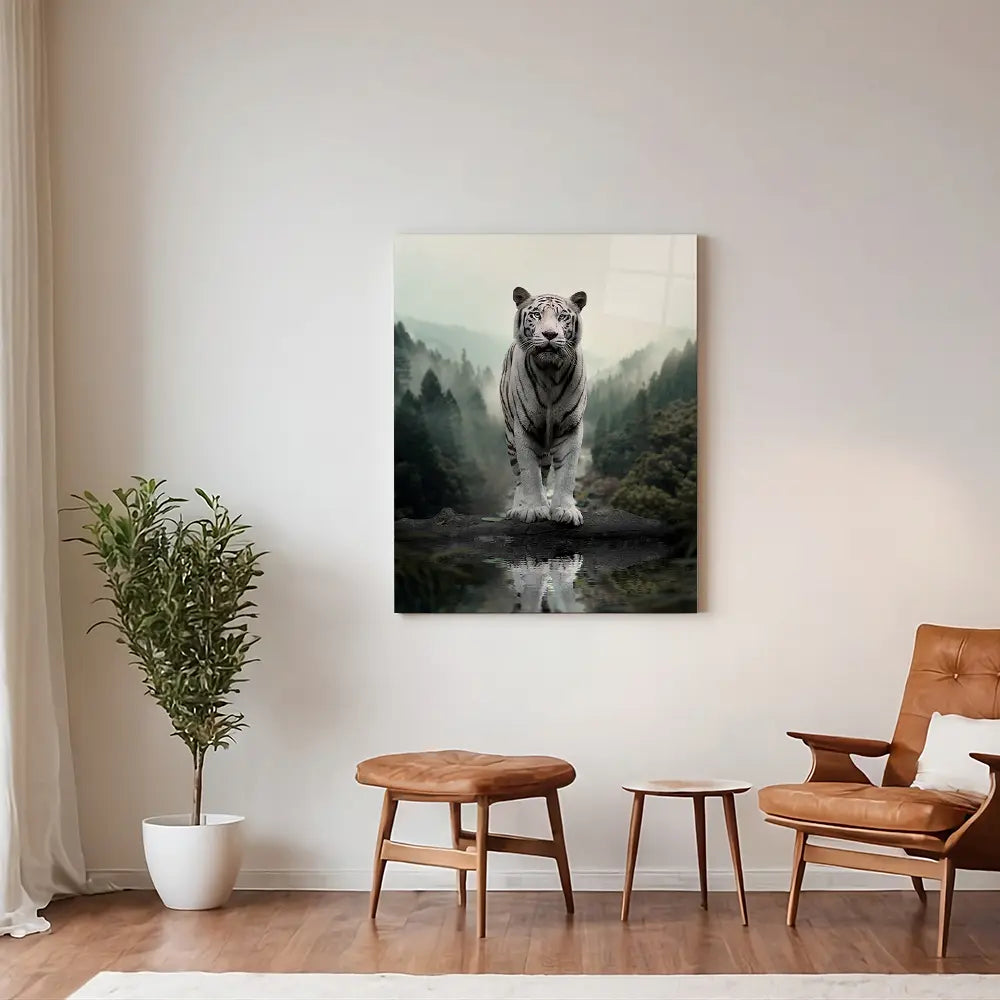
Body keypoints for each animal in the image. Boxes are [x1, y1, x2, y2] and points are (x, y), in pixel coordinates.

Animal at [499, 286, 588, 525]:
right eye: (536, 314)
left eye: (562, 316)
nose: (550, 334)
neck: (550, 373)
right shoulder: (524, 428)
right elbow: (530, 472)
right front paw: (532, 509)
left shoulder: (571, 426)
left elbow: (567, 472)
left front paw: (565, 510)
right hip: (510, 438)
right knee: (520, 477)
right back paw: (518, 508)